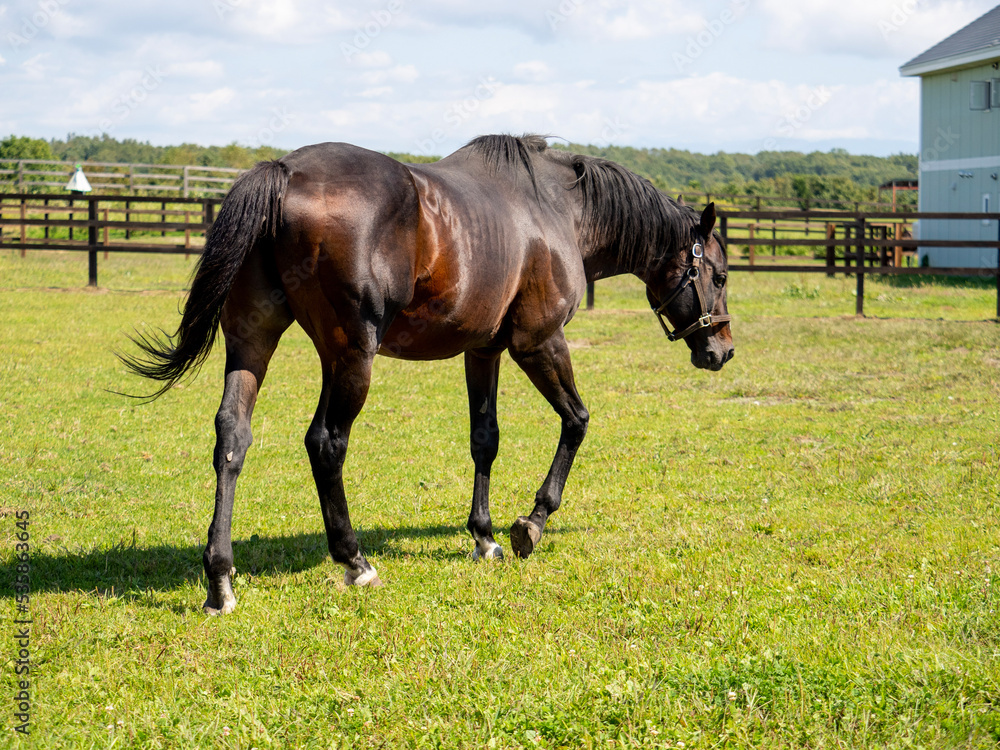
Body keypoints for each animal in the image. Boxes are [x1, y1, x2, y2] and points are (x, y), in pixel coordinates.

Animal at [120, 134, 734, 615]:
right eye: (722, 274)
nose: (722, 349)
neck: (555, 208)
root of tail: (285, 172)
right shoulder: (538, 343)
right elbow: (577, 421)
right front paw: (531, 523)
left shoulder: (483, 352)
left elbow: (485, 439)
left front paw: (484, 537)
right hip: (350, 355)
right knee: (325, 442)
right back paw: (354, 560)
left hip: (253, 340)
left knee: (232, 437)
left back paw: (220, 578)